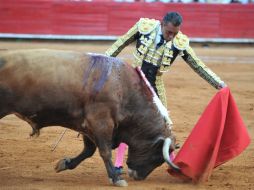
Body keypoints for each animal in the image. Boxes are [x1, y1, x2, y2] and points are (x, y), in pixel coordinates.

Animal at [0, 49, 179, 187]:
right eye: (157, 156)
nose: (138, 176)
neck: (124, 88)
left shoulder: (87, 125)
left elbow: (89, 150)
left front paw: (64, 164)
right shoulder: (101, 122)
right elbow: (105, 151)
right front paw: (116, 178)